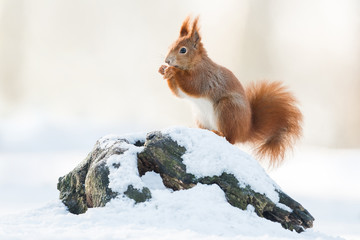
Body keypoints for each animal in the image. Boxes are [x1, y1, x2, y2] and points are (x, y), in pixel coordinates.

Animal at [159, 15, 302, 166]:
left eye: (183, 50)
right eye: (170, 46)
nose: (167, 61)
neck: (197, 63)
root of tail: (244, 131)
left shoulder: (204, 77)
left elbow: (192, 85)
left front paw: (173, 71)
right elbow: (179, 93)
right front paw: (163, 70)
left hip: (227, 109)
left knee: (230, 138)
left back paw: (219, 133)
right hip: (201, 116)